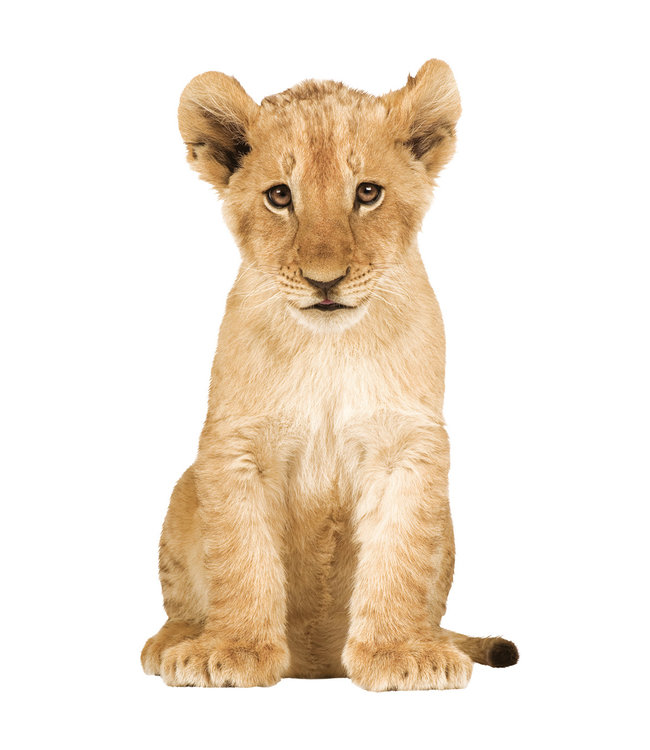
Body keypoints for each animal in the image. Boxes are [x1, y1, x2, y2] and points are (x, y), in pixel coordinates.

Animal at [141, 59, 518, 691]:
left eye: (367, 192)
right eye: (279, 196)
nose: (325, 281)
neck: (329, 349)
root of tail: (315, 666)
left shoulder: (408, 446)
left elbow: (400, 556)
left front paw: (399, 652)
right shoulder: (236, 444)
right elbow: (239, 554)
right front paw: (234, 649)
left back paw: (435, 640)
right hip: (183, 489)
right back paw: (175, 641)